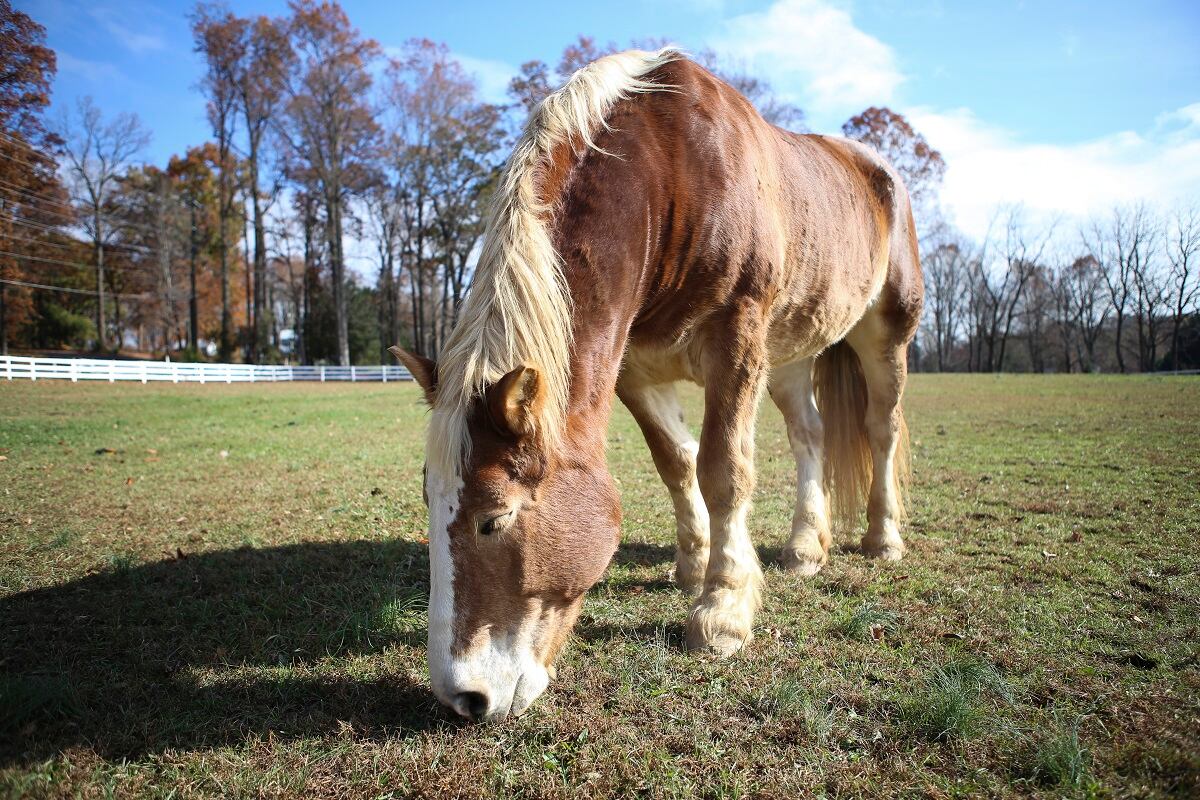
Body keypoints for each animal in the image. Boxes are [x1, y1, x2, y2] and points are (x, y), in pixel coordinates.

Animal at [390, 48, 923, 722]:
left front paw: (722, 611)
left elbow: (724, 469)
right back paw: (804, 549)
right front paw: (695, 567)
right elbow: (677, 461)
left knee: (882, 429)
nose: (462, 696)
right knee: (810, 436)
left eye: (493, 519)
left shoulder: (737, 338)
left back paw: (882, 538)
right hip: (790, 355)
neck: (673, 173)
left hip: (885, 336)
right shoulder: (636, 371)